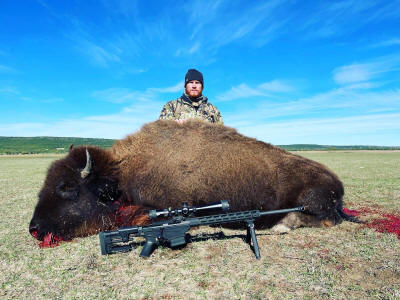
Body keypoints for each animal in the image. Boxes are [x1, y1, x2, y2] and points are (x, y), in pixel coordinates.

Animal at [28, 119, 354, 246]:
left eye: (67, 187)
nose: (34, 229)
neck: (119, 177)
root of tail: (337, 183)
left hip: (312, 201)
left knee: (324, 220)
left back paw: (281, 225)